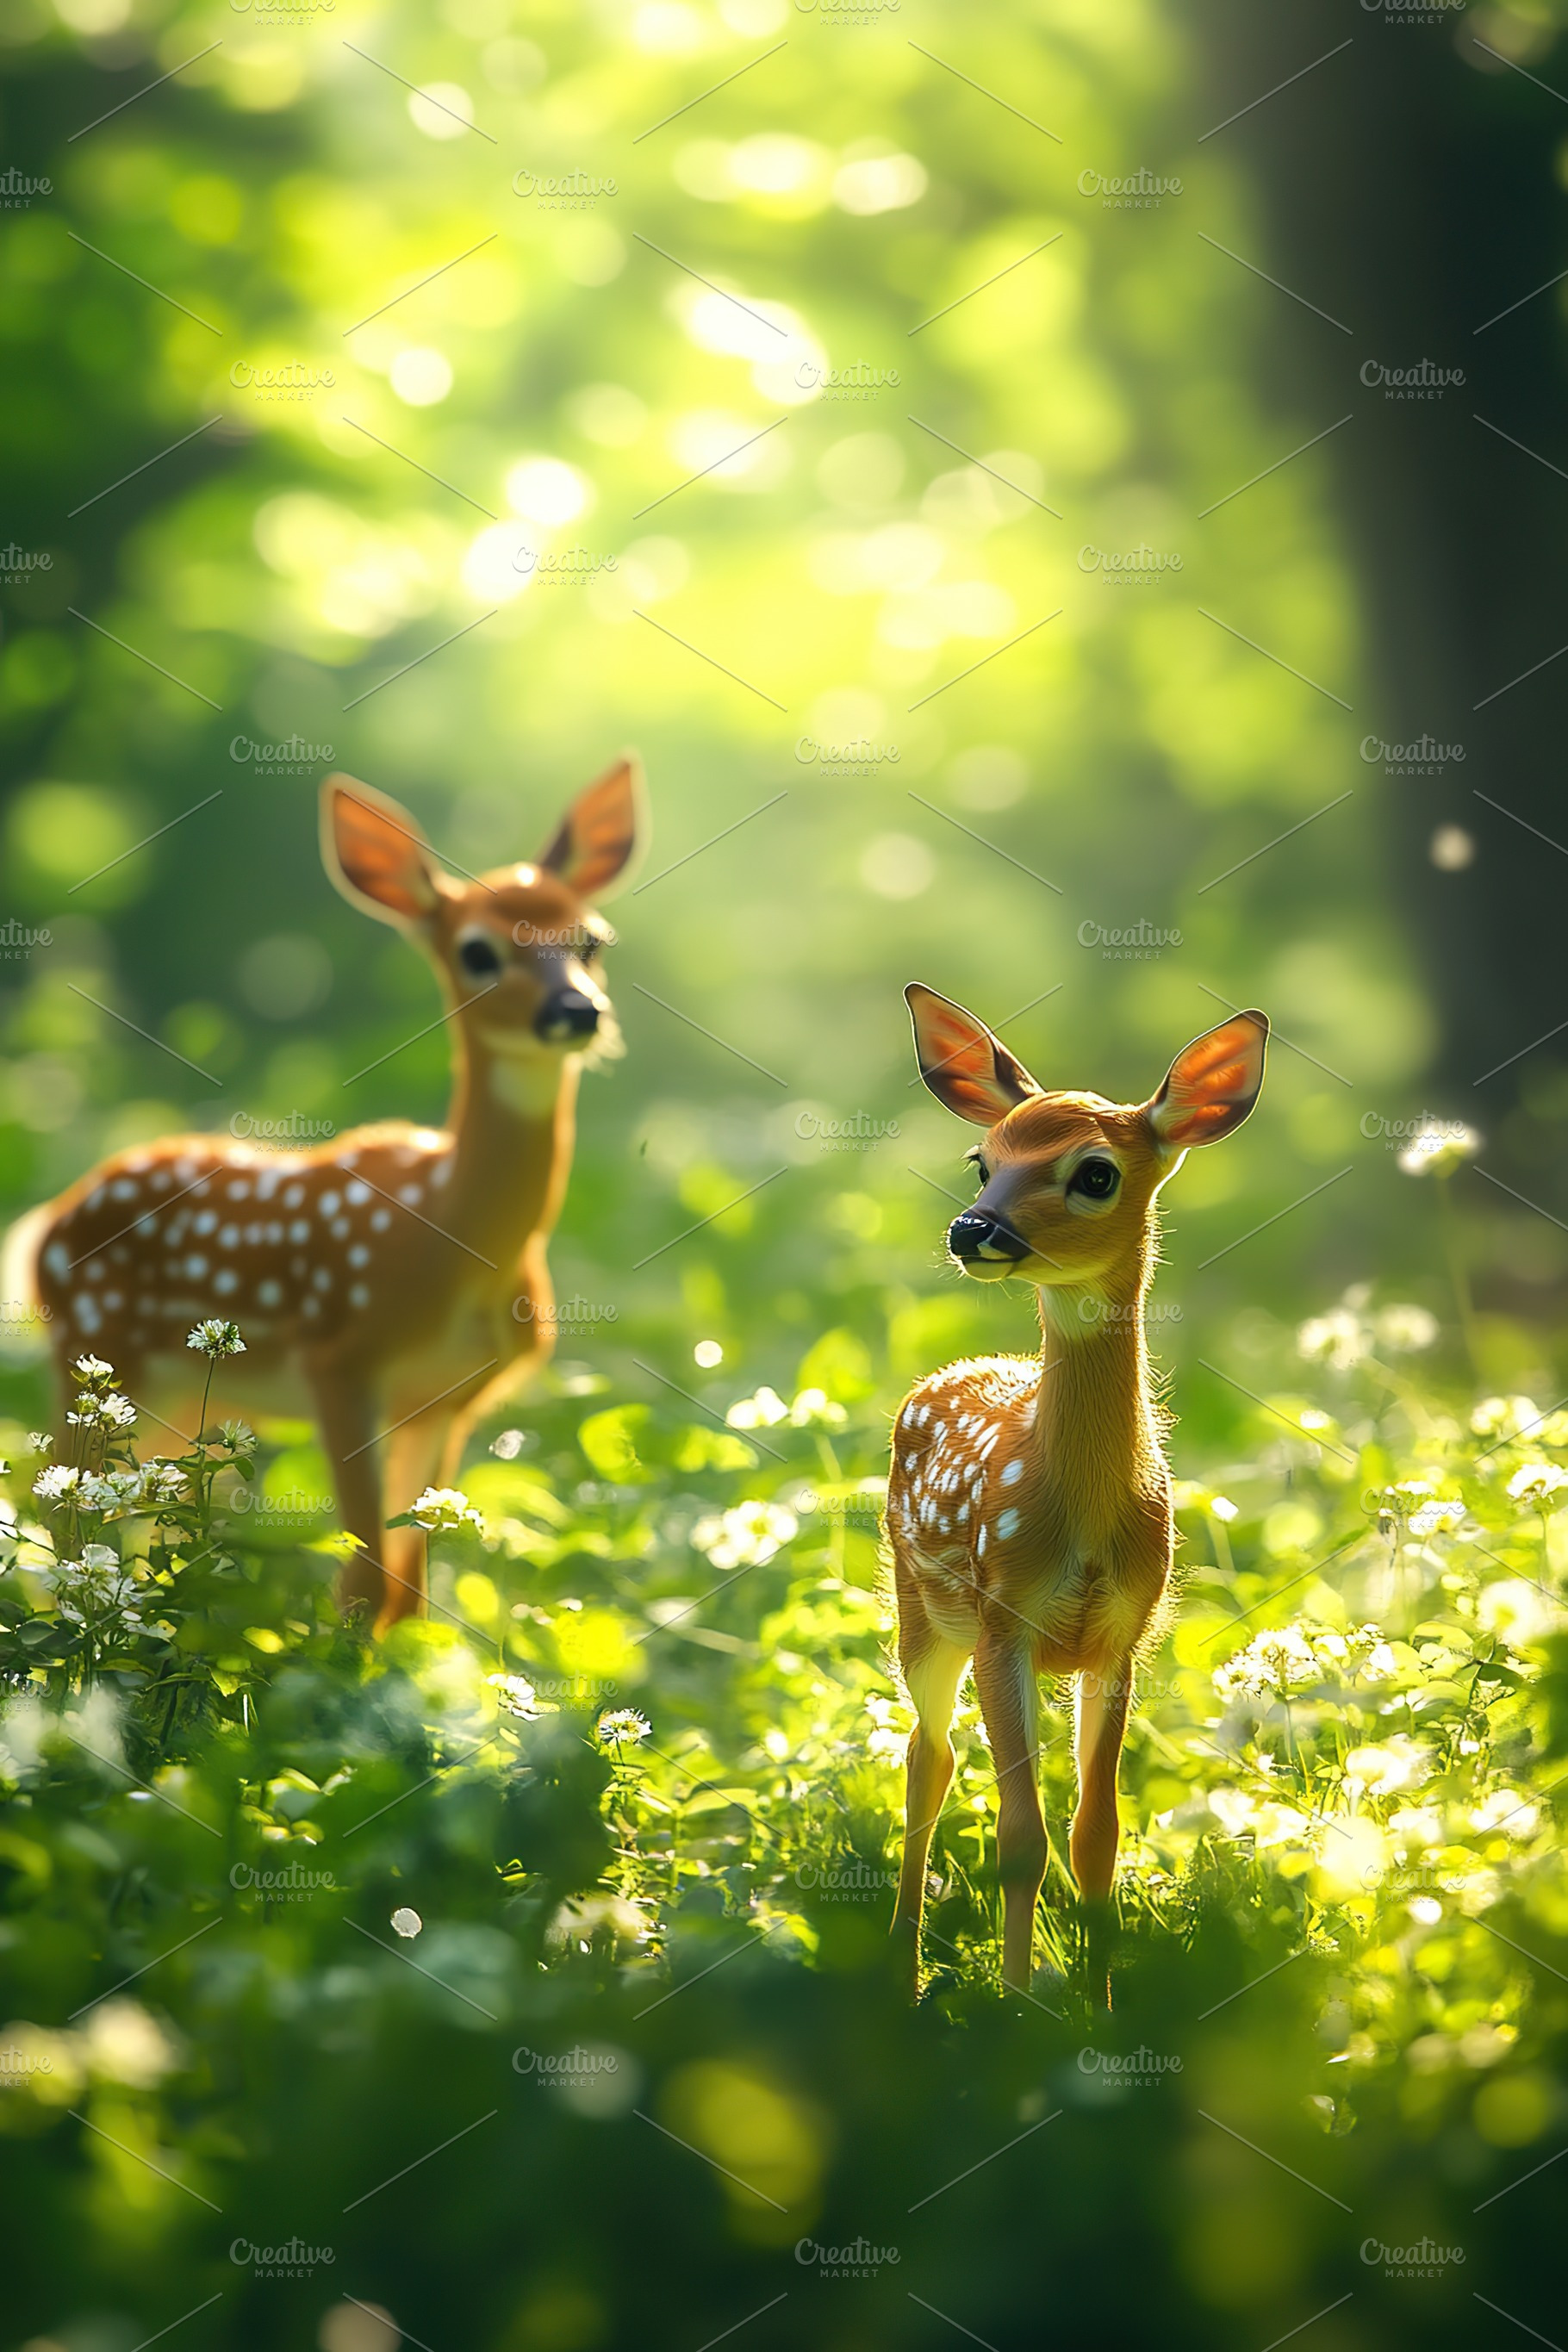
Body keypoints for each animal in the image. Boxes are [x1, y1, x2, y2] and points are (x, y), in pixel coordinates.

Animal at [7, 758, 646, 1632]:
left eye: (592, 940)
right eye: (478, 952)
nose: (577, 1010)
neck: (448, 1237)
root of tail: (46, 1224)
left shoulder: (446, 1399)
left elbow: (409, 1591)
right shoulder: (340, 1354)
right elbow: (364, 1584)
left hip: (161, 1399)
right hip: (97, 1348)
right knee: (63, 1511)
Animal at [887, 986, 1269, 2004]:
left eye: (1094, 1173)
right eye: (982, 1161)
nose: (973, 1230)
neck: (1085, 1520)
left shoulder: (1122, 1637)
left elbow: (1097, 1835)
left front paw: (1098, 2011)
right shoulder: (1001, 1618)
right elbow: (1020, 1834)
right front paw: (1017, 2012)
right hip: (919, 1610)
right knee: (927, 1758)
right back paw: (897, 1978)